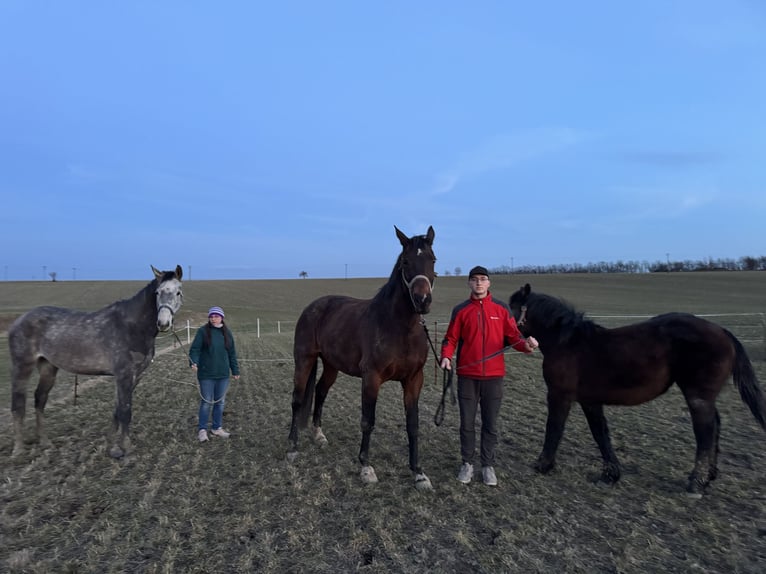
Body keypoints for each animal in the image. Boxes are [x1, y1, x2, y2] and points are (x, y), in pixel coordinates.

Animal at [9, 265, 184, 459]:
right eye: (157, 292)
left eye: (178, 292)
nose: (163, 323)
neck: (132, 326)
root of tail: (19, 320)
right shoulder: (123, 375)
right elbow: (125, 411)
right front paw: (126, 449)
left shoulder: (135, 376)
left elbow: (118, 409)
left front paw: (112, 447)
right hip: (22, 366)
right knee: (18, 404)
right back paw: (18, 450)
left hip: (48, 367)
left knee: (40, 399)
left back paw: (46, 443)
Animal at [288, 226, 436, 490]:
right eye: (406, 261)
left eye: (433, 259)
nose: (422, 300)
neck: (401, 328)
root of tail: (313, 307)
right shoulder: (371, 378)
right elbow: (368, 420)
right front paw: (366, 467)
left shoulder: (414, 380)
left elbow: (413, 424)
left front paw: (418, 472)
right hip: (304, 360)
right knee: (297, 399)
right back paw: (293, 448)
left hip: (331, 365)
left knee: (321, 391)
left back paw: (319, 435)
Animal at [508, 283, 766, 497]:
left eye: (512, 308)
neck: (568, 344)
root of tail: (723, 331)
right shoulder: (590, 400)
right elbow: (600, 434)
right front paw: (610, 475)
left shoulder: (560, 395)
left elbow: (554, 428)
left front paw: (543, 465)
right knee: (715, 426)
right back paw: (709, 477)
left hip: (697, 396)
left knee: (705, 432)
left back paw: (696, 484)